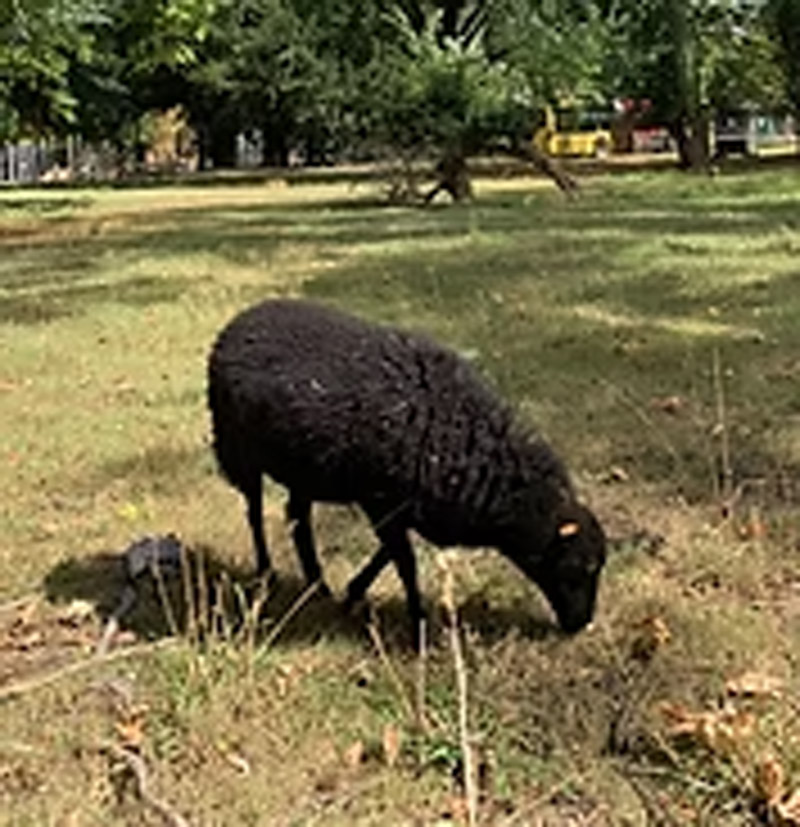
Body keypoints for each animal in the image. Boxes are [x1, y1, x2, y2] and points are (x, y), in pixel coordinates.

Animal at [207, 298, 606, 643]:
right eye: (578, 566)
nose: (581, 624)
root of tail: (243, 316)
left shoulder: (404, 504)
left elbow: (388, 552)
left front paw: (353, 593)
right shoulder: (382, 500)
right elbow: (404, 561)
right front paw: (418, 624)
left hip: (303, 469)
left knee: (298, 520)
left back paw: (318, 586)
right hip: (237, 451)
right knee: (255, 514)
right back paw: (267, 573)